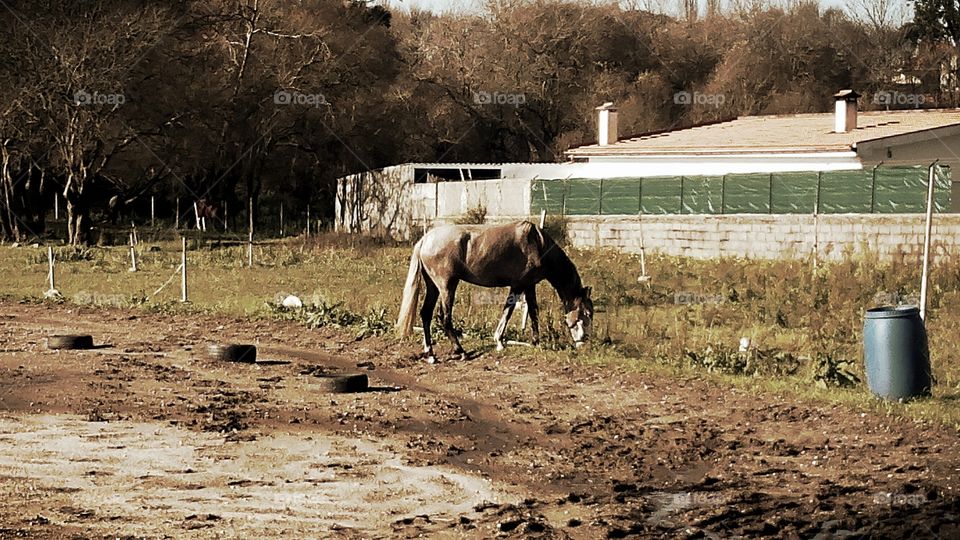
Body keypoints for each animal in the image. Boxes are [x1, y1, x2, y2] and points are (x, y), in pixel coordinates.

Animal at [396, 220, 593, 363]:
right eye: (586, 314)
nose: (584, 343)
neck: (538, 244)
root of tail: (425, 240)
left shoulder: (529, 286)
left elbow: (533, 312)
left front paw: (535, 342)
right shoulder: (518, 285)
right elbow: (509, 311)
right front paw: (499, 341)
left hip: (433, 286)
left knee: (426, 314)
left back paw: (430, 353)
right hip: (447, 286)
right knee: (445, 318)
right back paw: (460, 351)